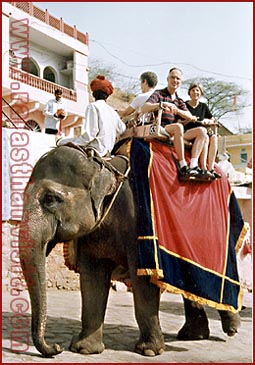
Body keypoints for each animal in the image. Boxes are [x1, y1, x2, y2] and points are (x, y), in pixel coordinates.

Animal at [18, 144, 240, 356]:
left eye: (50, 199)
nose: (56, 348)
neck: (104, 166)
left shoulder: (139, 225)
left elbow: (143, 282)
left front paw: (149, 351)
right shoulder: (94, 233)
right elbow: (91, 280)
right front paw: (84, 349)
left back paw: (231, 328)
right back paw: (193, 335)